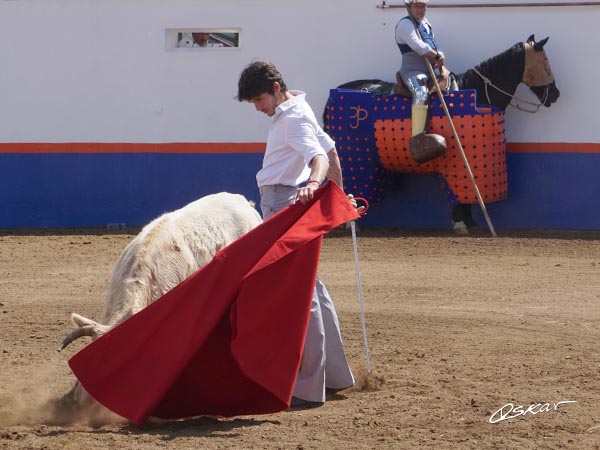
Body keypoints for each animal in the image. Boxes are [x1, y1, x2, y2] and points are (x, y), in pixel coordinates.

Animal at [328, 33, 556, 234]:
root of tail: (336, 92)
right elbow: (460, 196)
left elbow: (467, 196)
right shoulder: (457, 165)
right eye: (545, 62)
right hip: (357, 161)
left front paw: (471, 223)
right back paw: (351, 224)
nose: (555, 94)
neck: (473, 91)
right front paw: (461, 224)